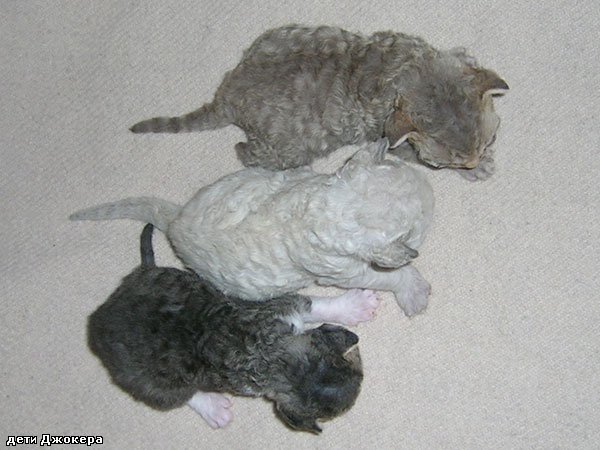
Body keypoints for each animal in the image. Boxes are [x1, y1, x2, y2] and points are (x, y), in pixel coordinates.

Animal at [71, 139, 434, 317]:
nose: (434, 195)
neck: (320, 210)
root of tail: (174, 221)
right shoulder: (341, 272)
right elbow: (386, 275)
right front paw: (414, 289)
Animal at [87, 223, 376, 433]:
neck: (270, 358)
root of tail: (100, 315)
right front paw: (356, 306)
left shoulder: (277, 310)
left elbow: (314, 304)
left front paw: (355, 306)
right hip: (145, 381)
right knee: (178, 395)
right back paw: (214, 408)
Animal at [130, 25, 508, 179]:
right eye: (453, 162)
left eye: (488, 140)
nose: (475, 161)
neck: (408, 70)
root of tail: (226, 95)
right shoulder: (390, 138)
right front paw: (479, 171)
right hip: (287, 149)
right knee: (245, 152)